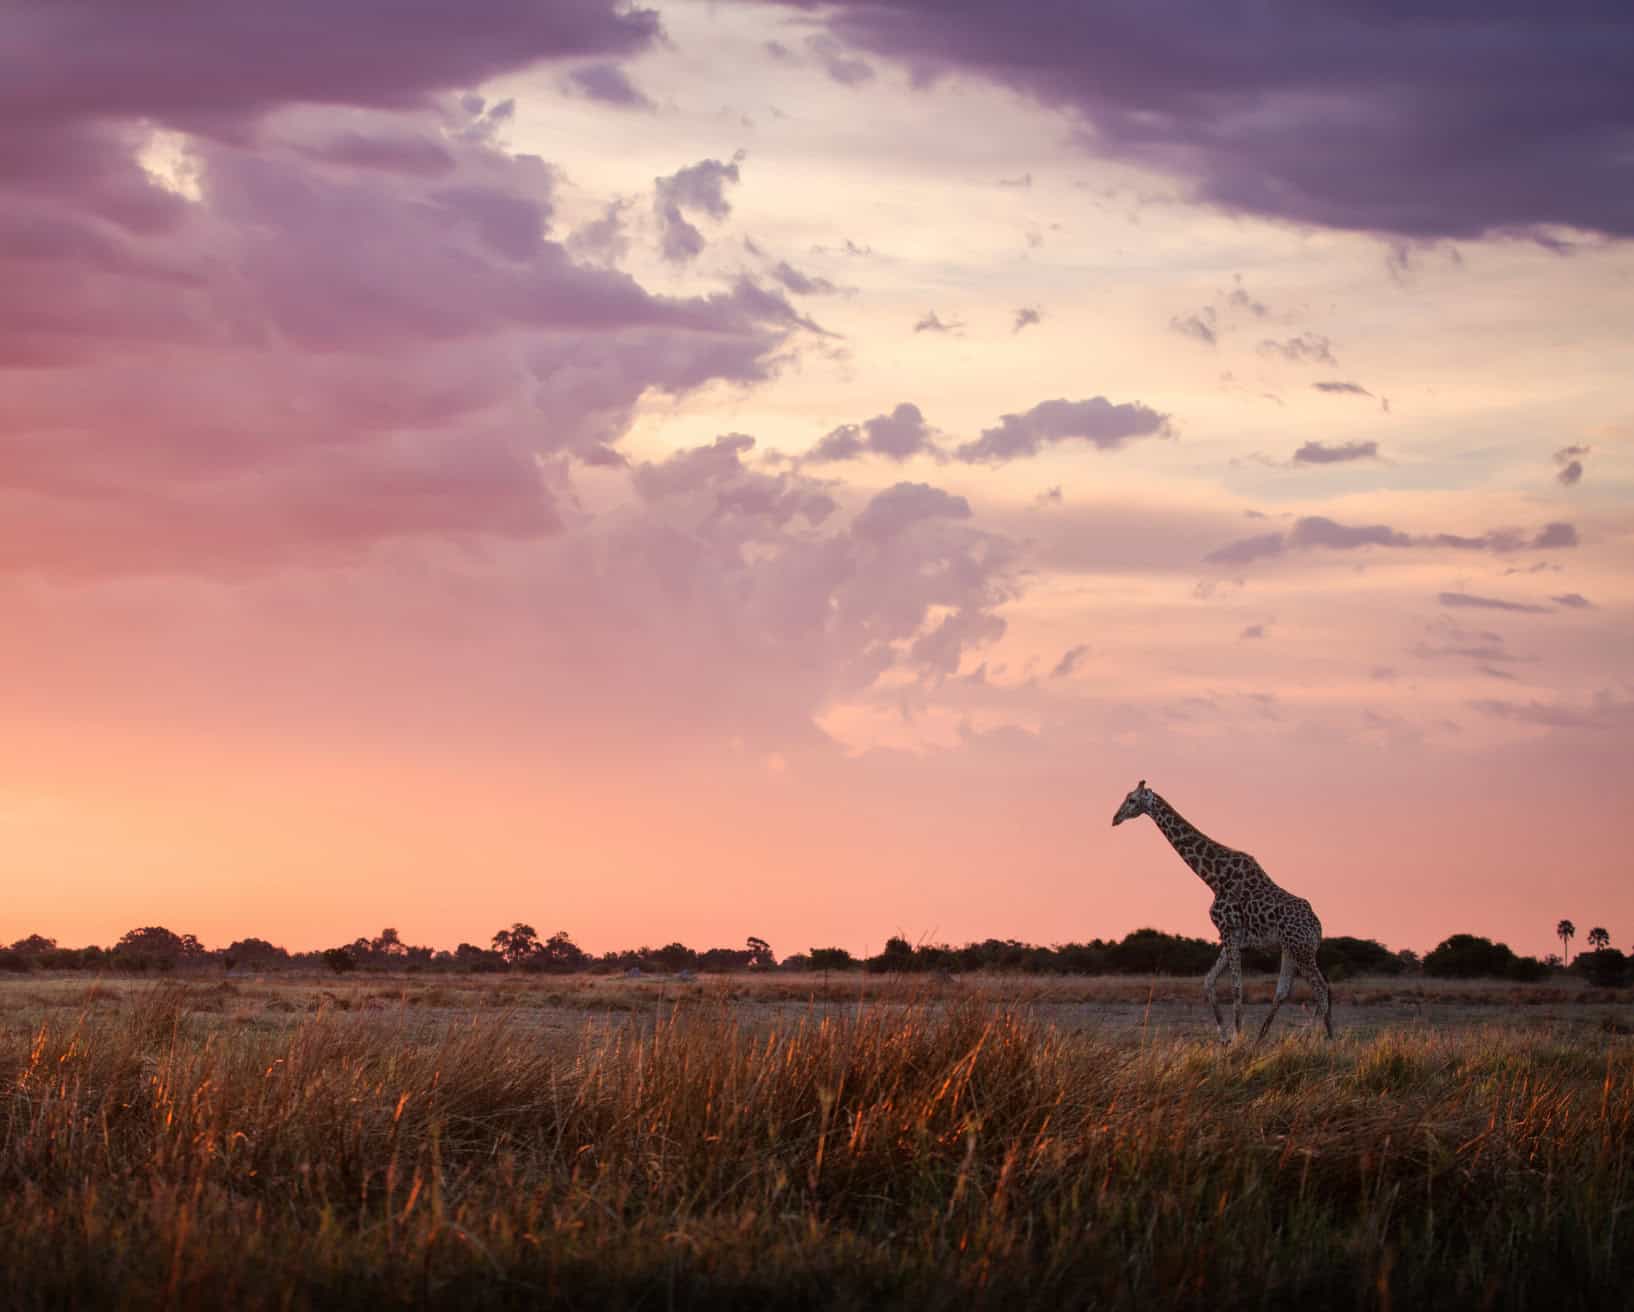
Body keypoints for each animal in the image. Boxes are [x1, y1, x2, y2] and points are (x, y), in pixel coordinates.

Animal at [1112, 780, 1332, 1043]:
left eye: (1132, 800)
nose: (1115, 818)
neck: (1213, 878)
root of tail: (1317, 927)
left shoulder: (1229, 930)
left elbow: (1236, 987)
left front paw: (1237, 1037)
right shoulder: (1233, 937)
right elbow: (1208, 981)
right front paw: (1225, 1036)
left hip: (1302, 949)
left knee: (1322, 988)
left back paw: (1314, 1038)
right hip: (1290, 949)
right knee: (1284, 991)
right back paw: (1266, 1038)